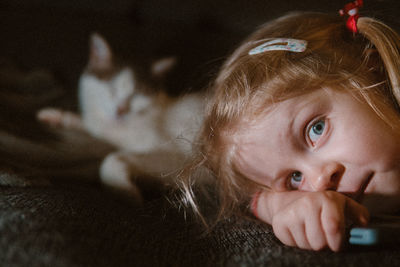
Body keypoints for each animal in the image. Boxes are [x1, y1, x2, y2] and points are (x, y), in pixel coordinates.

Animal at [37, 33, 205, 201]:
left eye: (137, 94)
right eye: (111, 88)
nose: (120, 110)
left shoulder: (181, 157)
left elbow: (114, 158)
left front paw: (126, 193)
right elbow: (91, 126)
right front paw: (56, 116)